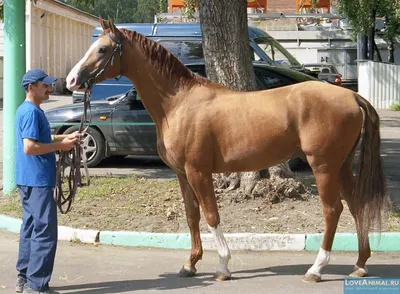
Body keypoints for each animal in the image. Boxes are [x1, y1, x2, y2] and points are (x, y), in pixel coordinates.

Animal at [65, 17, 388, 282]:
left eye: (102, 50)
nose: (71, 81)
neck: (178, 103)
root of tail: (351, 96)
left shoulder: (198, 172)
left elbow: (211, 216)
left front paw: (222, 266)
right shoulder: (182, 174)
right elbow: (192, 216)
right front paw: (190, 264)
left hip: (323, 167)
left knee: (333, 210)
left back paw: (316, 269)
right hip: (341, 166)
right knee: (356, 206)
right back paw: (359, 264)